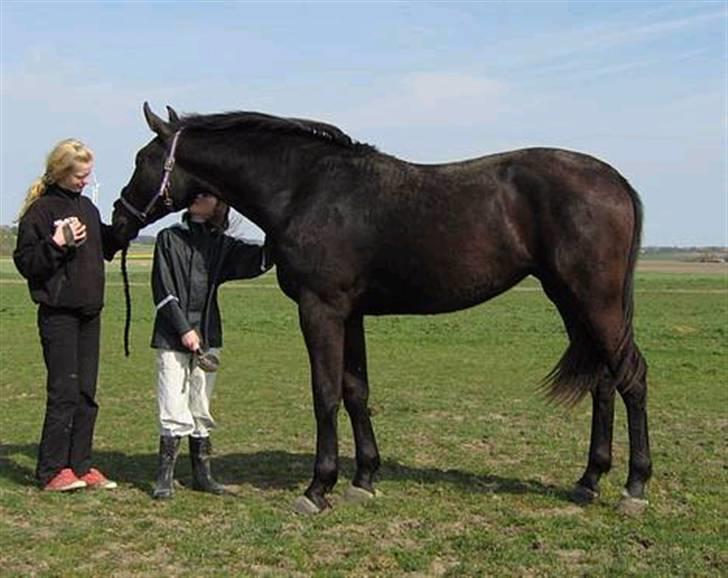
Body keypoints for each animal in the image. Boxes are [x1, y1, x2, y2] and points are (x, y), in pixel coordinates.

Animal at [111, 103, 652, 512]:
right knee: (604, 381)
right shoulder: (351, 315)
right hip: (572, 300)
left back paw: (634, 487)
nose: (118, 221)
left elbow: (325, 393)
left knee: (632, 377)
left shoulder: (321, 310)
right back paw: (589, 480)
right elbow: (356, 391)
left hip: (594, 301)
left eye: (141, 159)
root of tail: (615, 180)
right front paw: (363, 479)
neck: (305, 188)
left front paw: (318, 487)